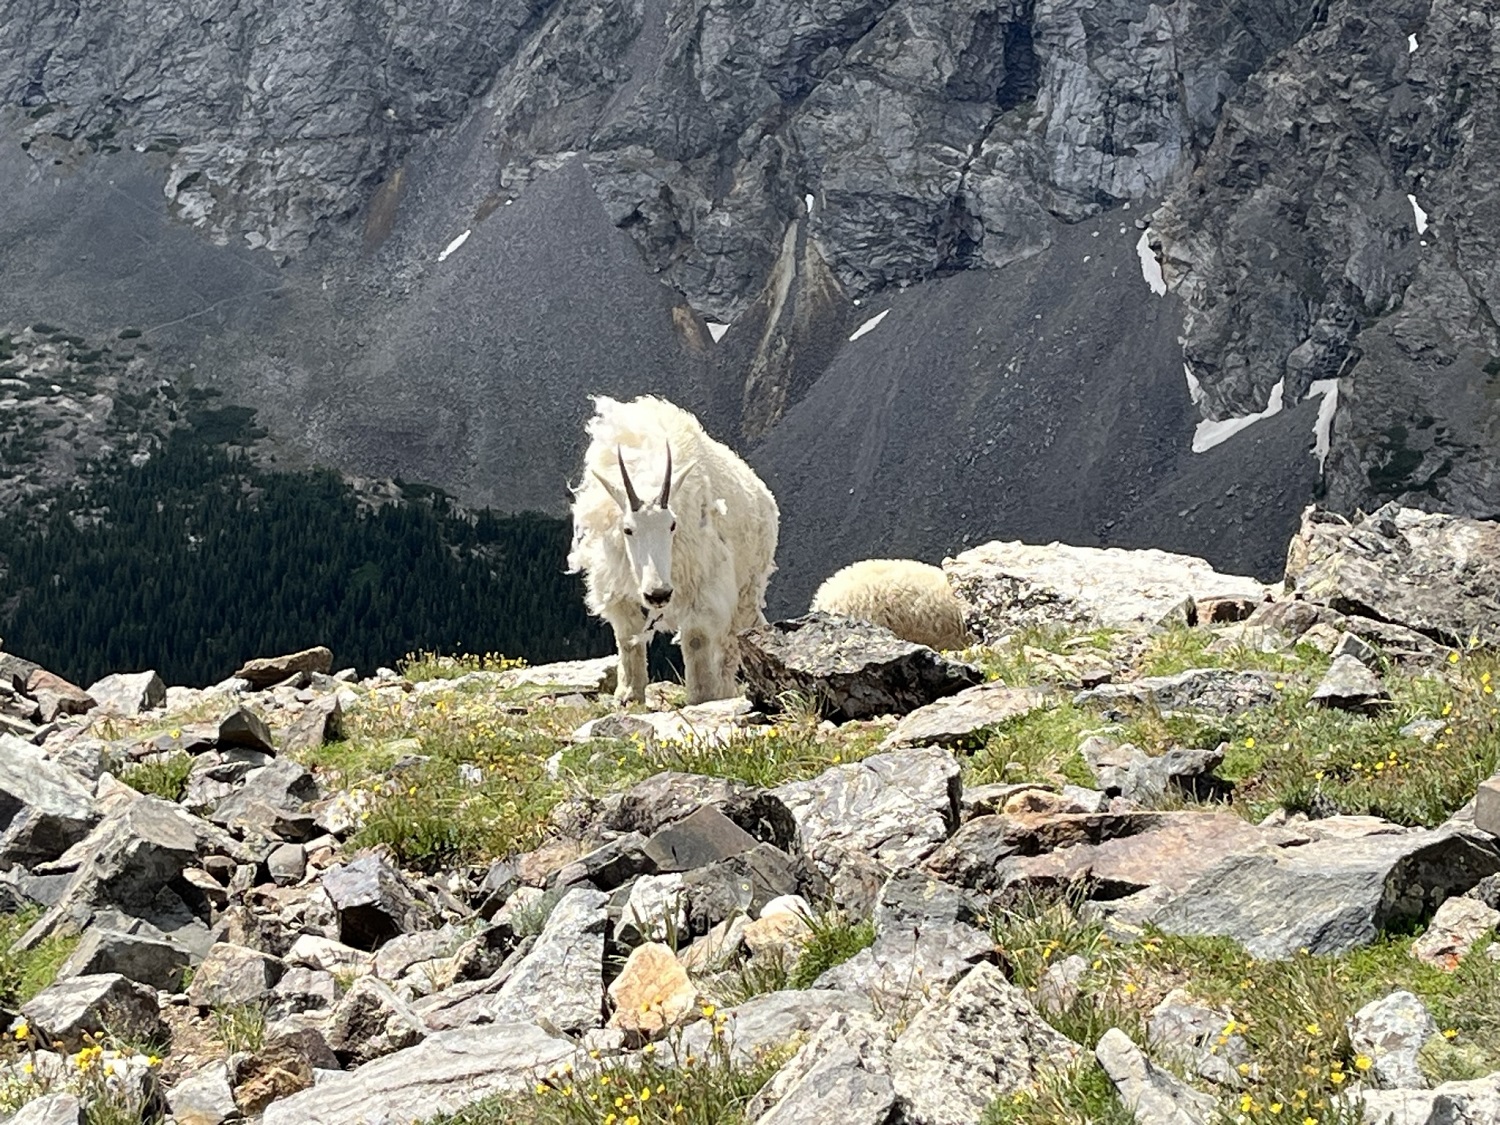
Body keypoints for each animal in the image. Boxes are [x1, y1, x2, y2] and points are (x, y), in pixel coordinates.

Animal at [564, 399, 786, 705]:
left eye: (672, 525)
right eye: (627, 529)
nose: (658, 594)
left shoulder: (704, 582)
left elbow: (696, 638)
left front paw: (702, 696)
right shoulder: (616, 583)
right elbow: (628, 636)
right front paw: (628, 694)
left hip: (747, 588)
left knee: (730, 641)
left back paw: (724, 689)